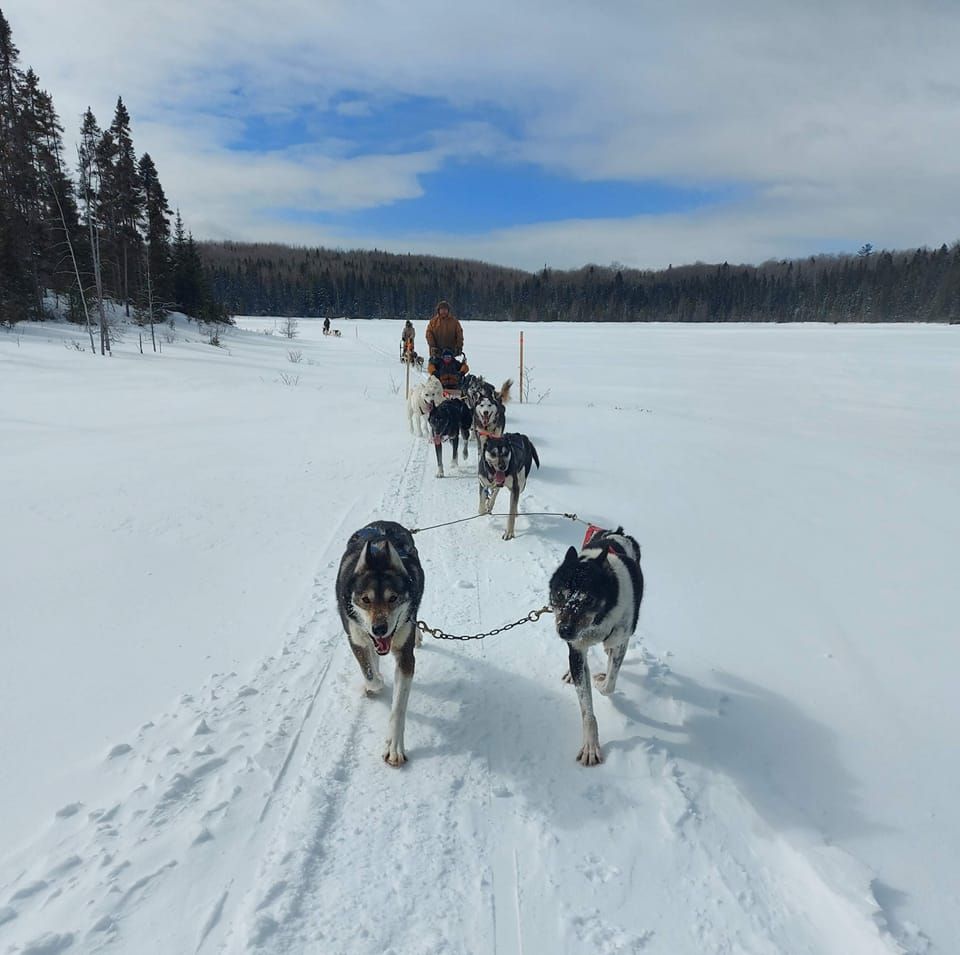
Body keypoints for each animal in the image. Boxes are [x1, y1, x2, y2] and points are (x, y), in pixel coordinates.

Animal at [340, 524, 426, 768]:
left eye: (393, 598)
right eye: (365, 599)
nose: (379, 628)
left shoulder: (406, 658)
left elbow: (397, 709)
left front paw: (394, 748)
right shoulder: (356, 640)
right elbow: (370, 674)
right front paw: (374, 683)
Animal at [548, 532, 644, 768]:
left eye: (588, 599)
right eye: (559, 594)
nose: (564, 630)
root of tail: (617, 533)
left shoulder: (621, 640)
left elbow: (609, 685)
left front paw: (601, 682)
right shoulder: (577, 649)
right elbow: (587, 709)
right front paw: (590, 745)